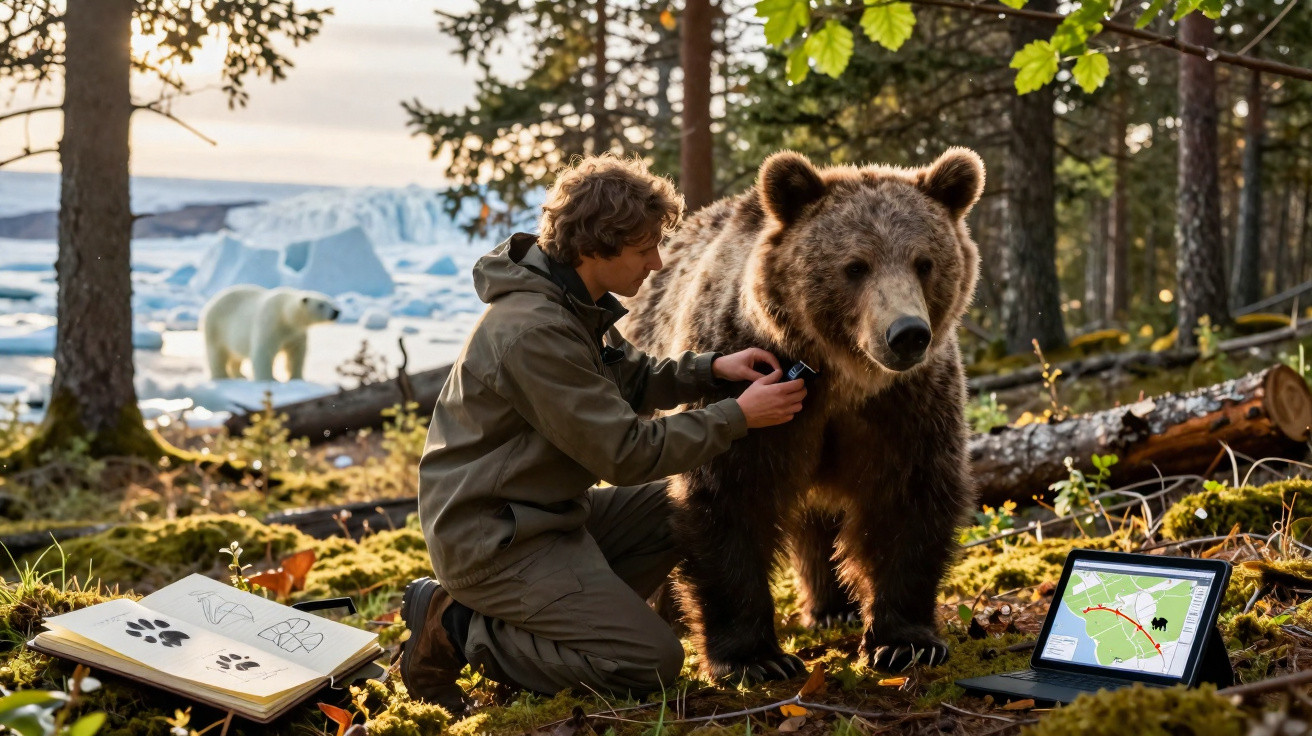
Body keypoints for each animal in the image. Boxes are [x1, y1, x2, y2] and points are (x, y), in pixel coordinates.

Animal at [200, 285, 340, 382]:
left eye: (331, 302)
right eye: (321, 305)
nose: (336, 312)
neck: (285, 314)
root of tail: (210, 303)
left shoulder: (296, 333)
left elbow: (296, 354)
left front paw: (297, 377)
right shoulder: (270, 323)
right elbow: (263, 352)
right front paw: (269, 379)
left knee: (235, 356)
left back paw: (240, 375)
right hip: (215, 327)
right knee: (217, 353)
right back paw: (222, 376)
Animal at [622, 148, 984, 681]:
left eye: (925, 262)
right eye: (855, 266)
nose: (907, 334)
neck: (842, 378)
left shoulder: (906, 405)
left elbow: (910, 498)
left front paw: (905, 642)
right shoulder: (750, 382)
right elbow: (729, 498)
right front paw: (755, 658)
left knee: (818, 518)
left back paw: (834, 607)